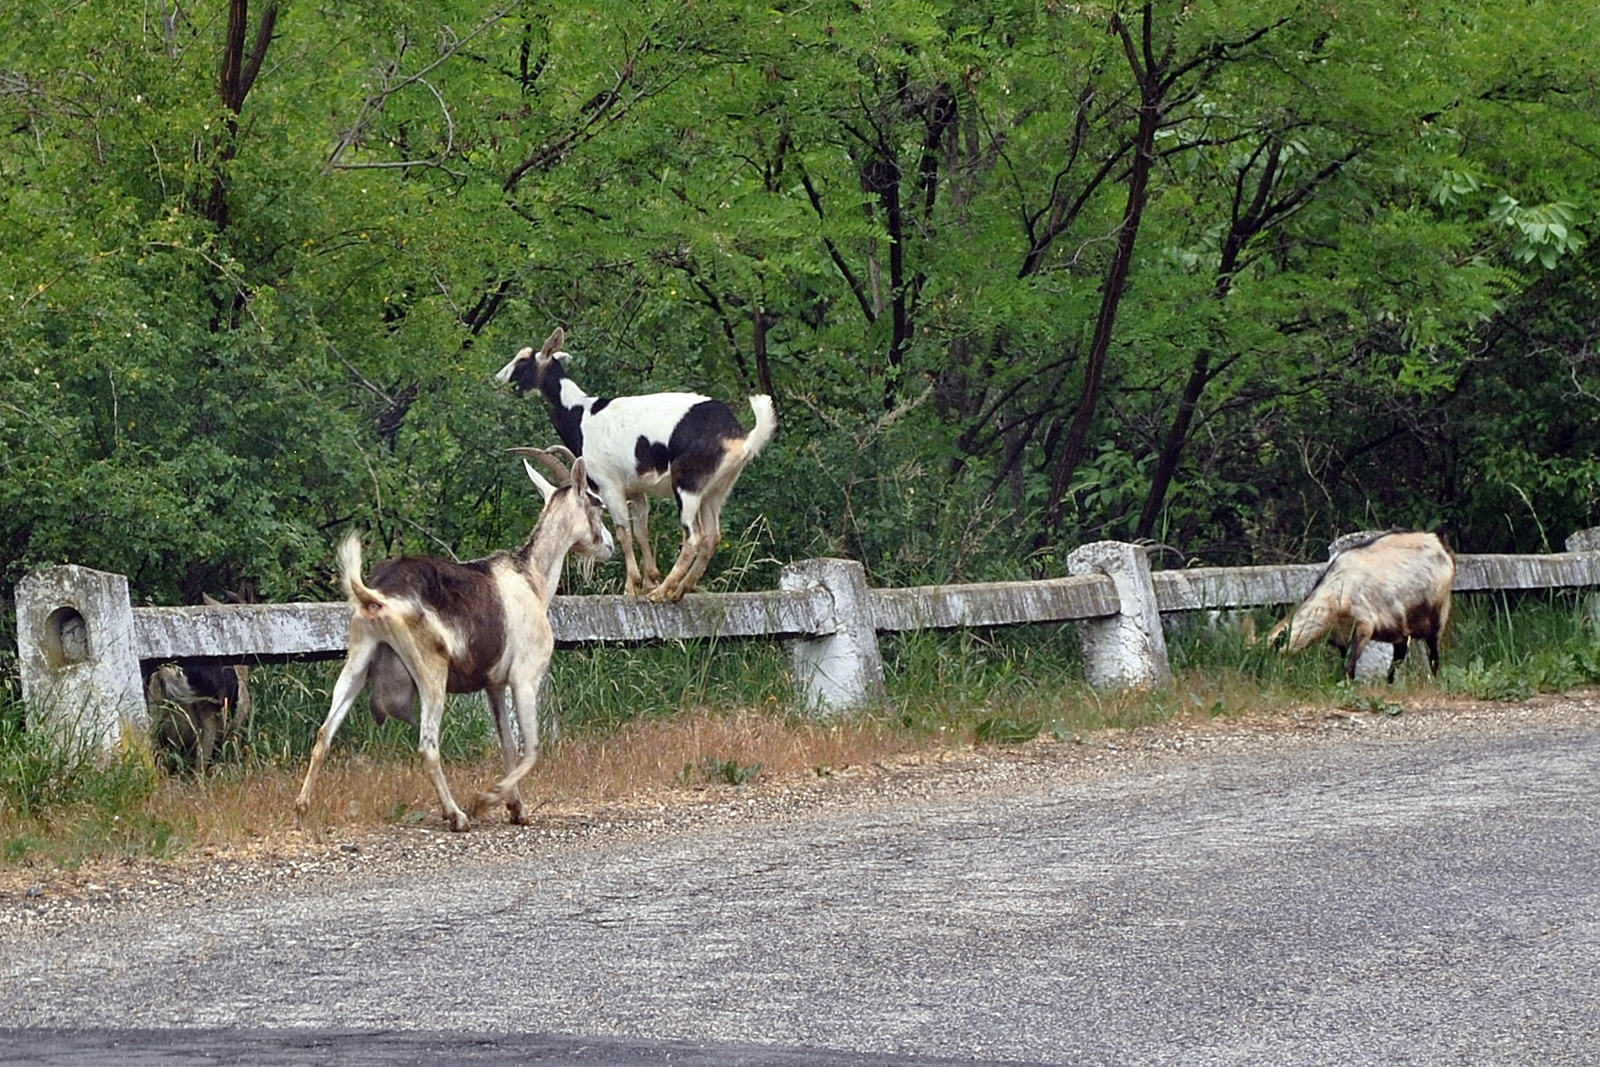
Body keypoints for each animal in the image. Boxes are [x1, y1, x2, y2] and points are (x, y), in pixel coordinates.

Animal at [294, 451, 611, 831]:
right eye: (597, 504)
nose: (609, 546)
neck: (531, 577)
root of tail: (377, 594)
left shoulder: (494, 684)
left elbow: (507, 745)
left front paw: (515, 807)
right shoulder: (524, 676)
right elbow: (532, 748)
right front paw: (486, 800)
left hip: (358, 660)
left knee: (324, 734)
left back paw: (302, 807)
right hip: (431, 671)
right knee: (427, 746)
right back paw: (457, 815)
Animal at [496, 326, 777, 604]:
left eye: (523, 360)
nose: (500, 378)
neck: (581, 413)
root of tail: (741, 437)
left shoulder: (610, 485)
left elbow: (624, 531)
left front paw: (632, 587)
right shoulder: (637, 489)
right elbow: (642, 530)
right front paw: (649, 579)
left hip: (688, 485)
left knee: (694, 537)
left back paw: (662, 592)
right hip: (715, 490)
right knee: (712, 537)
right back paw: (678, 590)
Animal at [1267, 527, 1459, 684]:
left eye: (1273, 652)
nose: (1269, 678)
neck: (1335, 592)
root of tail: (1440, 543)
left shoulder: (1364, 626)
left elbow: (1349, 665)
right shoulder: (1341, 638)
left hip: (1437, 615)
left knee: (1433, 655)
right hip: (1400, 626)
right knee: (1400, 655)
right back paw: (1389, 683)